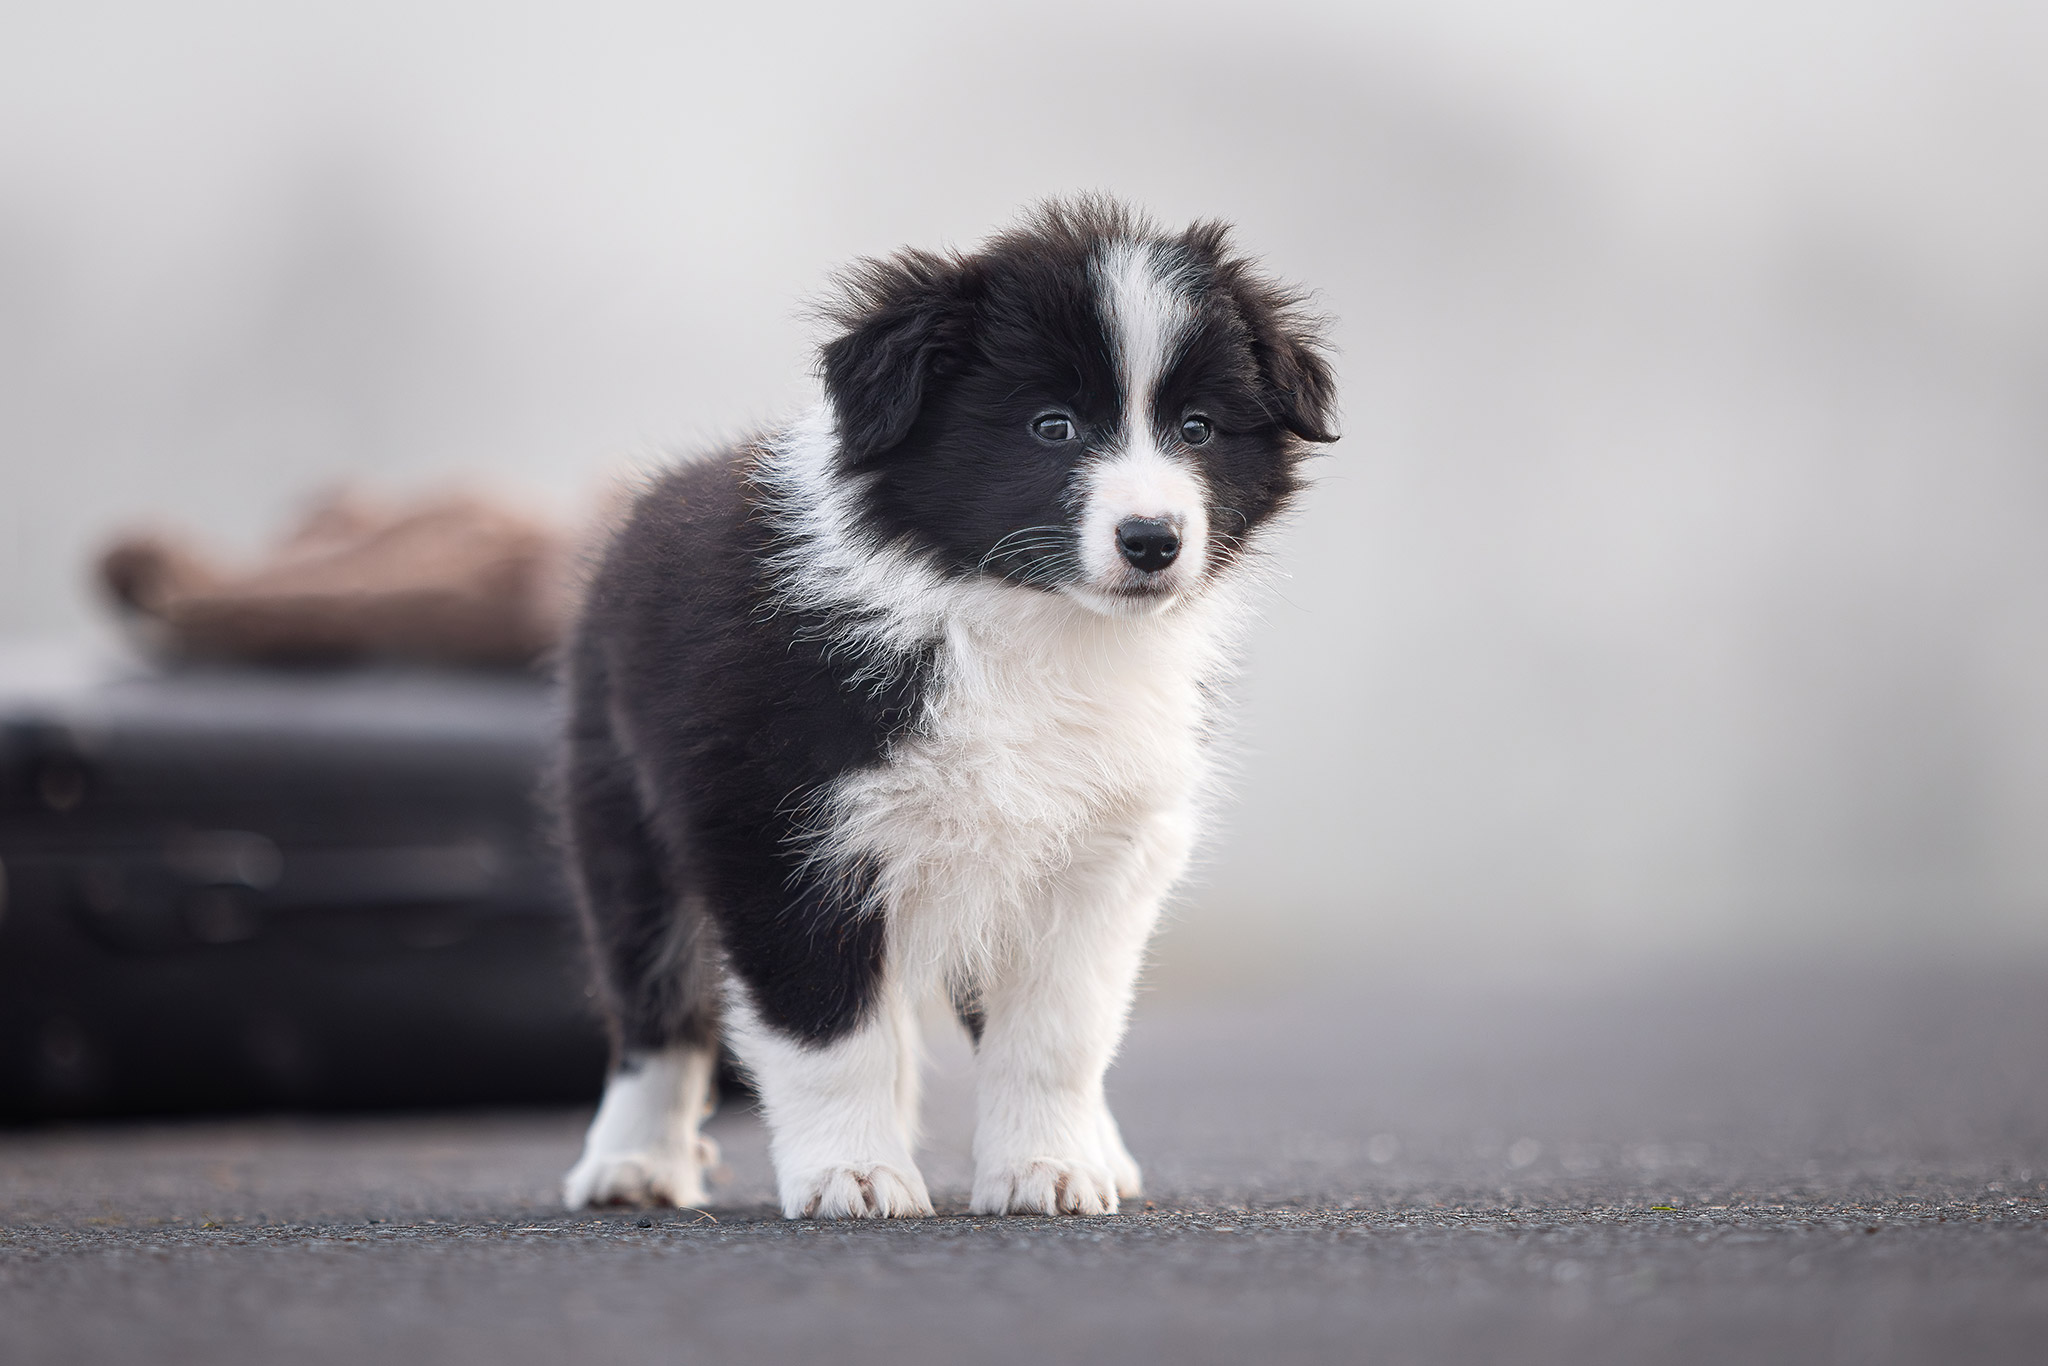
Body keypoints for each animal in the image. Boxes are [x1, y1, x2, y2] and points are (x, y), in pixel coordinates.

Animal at [561, 200, 1335, 1220]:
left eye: (1198, 428)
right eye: (1052, 425)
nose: (1153, 540)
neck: (1017, 623)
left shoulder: (1102, 853)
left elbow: (1058, 1033)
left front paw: (1049, 1169)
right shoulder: (782, 836)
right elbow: (825, 1033)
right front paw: (852, 1174)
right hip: (623, 815)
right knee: (657, 1003)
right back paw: (633, 1164)